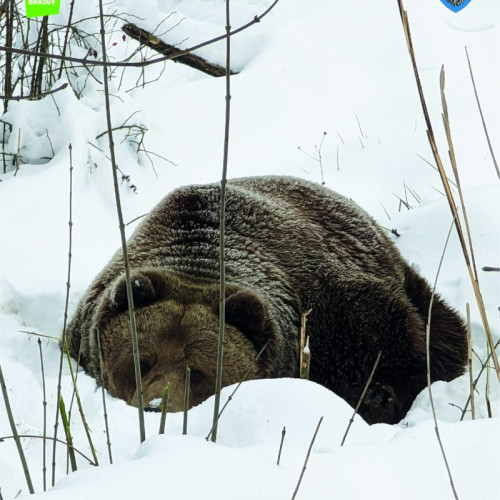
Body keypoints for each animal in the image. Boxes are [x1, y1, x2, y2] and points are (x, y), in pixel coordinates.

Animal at [63, 176, 468, 422]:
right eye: (140, 360)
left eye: (199, 371)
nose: (156, 407)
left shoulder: (329, 306)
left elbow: (401, 342)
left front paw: (379, 394)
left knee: (442, 328)